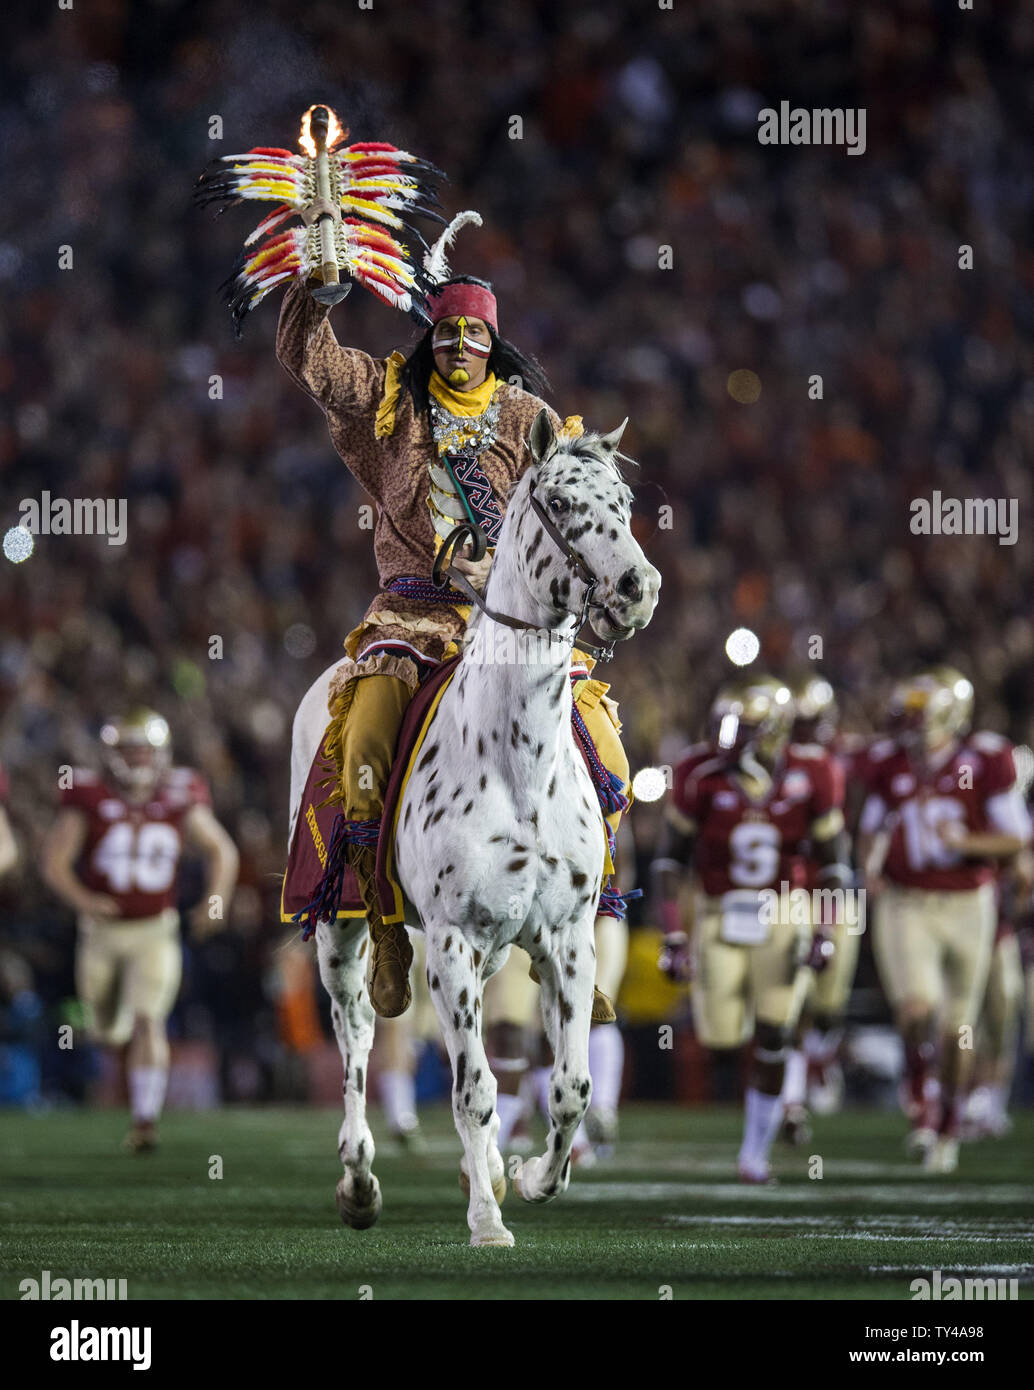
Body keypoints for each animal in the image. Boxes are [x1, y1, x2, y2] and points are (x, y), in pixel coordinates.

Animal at [286, 411, 658, 1251]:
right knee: (357, 1035)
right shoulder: (453, 938)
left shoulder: (566, 939)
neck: (516, 764)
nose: (637, 588)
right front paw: (488, 1222)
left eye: (624, 502)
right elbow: (472, 1090)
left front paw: (532, 1176)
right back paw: (359, 1180)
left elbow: (571, 1084)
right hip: (344, 929)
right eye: (560, 501)